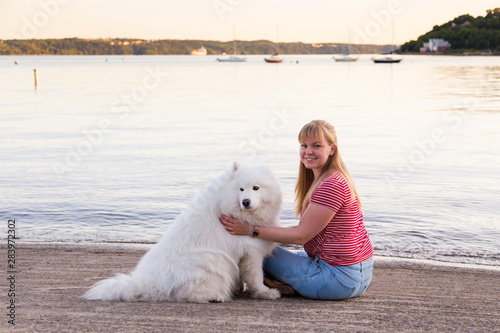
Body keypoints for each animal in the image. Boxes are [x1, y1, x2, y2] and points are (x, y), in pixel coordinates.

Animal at [84, 160, 284, 300]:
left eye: (256, 188)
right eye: (241, 189)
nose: (245, 202)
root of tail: (147, 283)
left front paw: (241, 289)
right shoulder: (252, 251)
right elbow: (255, 276)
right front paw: (265, 292)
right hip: (212, 260)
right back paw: (212, 297)